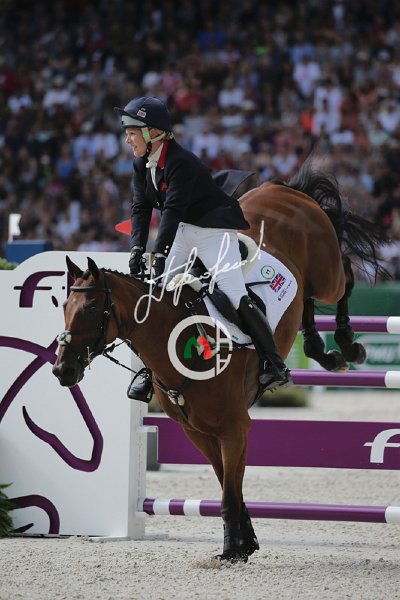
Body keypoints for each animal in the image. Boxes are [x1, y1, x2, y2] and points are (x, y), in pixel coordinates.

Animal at [52, 160, 387, 563]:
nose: (62, 369)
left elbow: (229, 492)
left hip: (327, 274)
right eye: (64, 307)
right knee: (306, 301)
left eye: (89, 310)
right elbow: (228, 484)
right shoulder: (198, 432)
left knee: (346, 276)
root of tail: (286, 189)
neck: (176, 341)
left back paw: (347, 345)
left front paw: (231, 551)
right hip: (306, 281)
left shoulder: (234, 428)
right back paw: (322, 350)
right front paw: (246, 543)